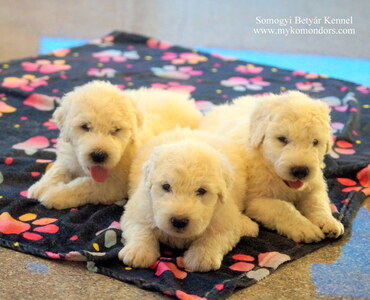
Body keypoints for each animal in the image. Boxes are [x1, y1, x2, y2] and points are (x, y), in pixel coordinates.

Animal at [28, 81, 202, 210]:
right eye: (85, 127)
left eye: (116, 130)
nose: (99, 155)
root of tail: (186, 101)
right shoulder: (68, 156)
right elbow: (57, 170)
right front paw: (39, 188)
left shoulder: (114, 185)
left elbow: (84, 186)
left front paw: (53, 195)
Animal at [118, 128, 258, 272]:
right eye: (166, 186)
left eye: (201, 191)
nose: (179, 221)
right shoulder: (139, 208)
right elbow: (141, 228)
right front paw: (137, 252)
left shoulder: (225, 219)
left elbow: (214, 236)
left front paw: (202, 257)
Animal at [201, 92, 346, 244]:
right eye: (282, 139)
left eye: (315, 142)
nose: (300, 171)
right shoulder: (255, 200)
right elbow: (282, 207)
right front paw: (306, 228)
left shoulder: (313, 184)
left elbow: (318, 202)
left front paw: (329, 222)